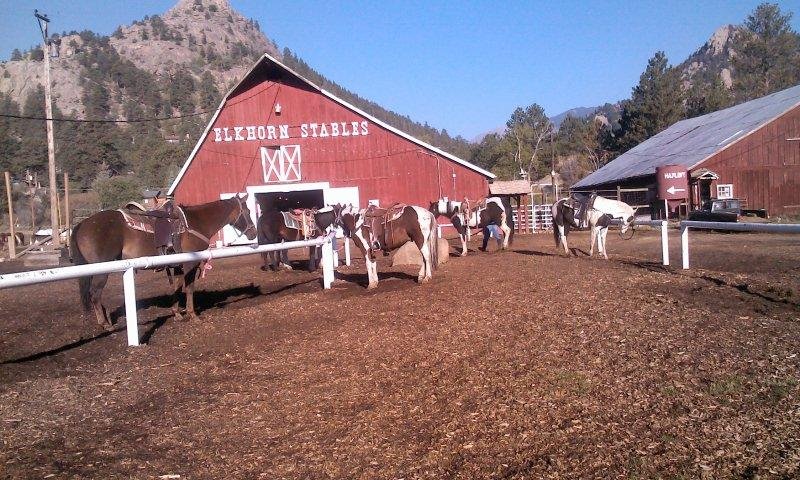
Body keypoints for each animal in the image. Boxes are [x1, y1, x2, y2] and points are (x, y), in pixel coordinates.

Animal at [70, 195, 256, 330]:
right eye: (247, 211)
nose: (253, 232)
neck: (196, 222)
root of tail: (81, 224)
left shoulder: (178, 265)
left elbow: (177, 287)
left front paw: (177, 313)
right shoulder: (190, 263)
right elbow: (189, 288)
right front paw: (192, 315)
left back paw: (107, 319)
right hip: (102, 269)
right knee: (95, 294)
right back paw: (105, 324)